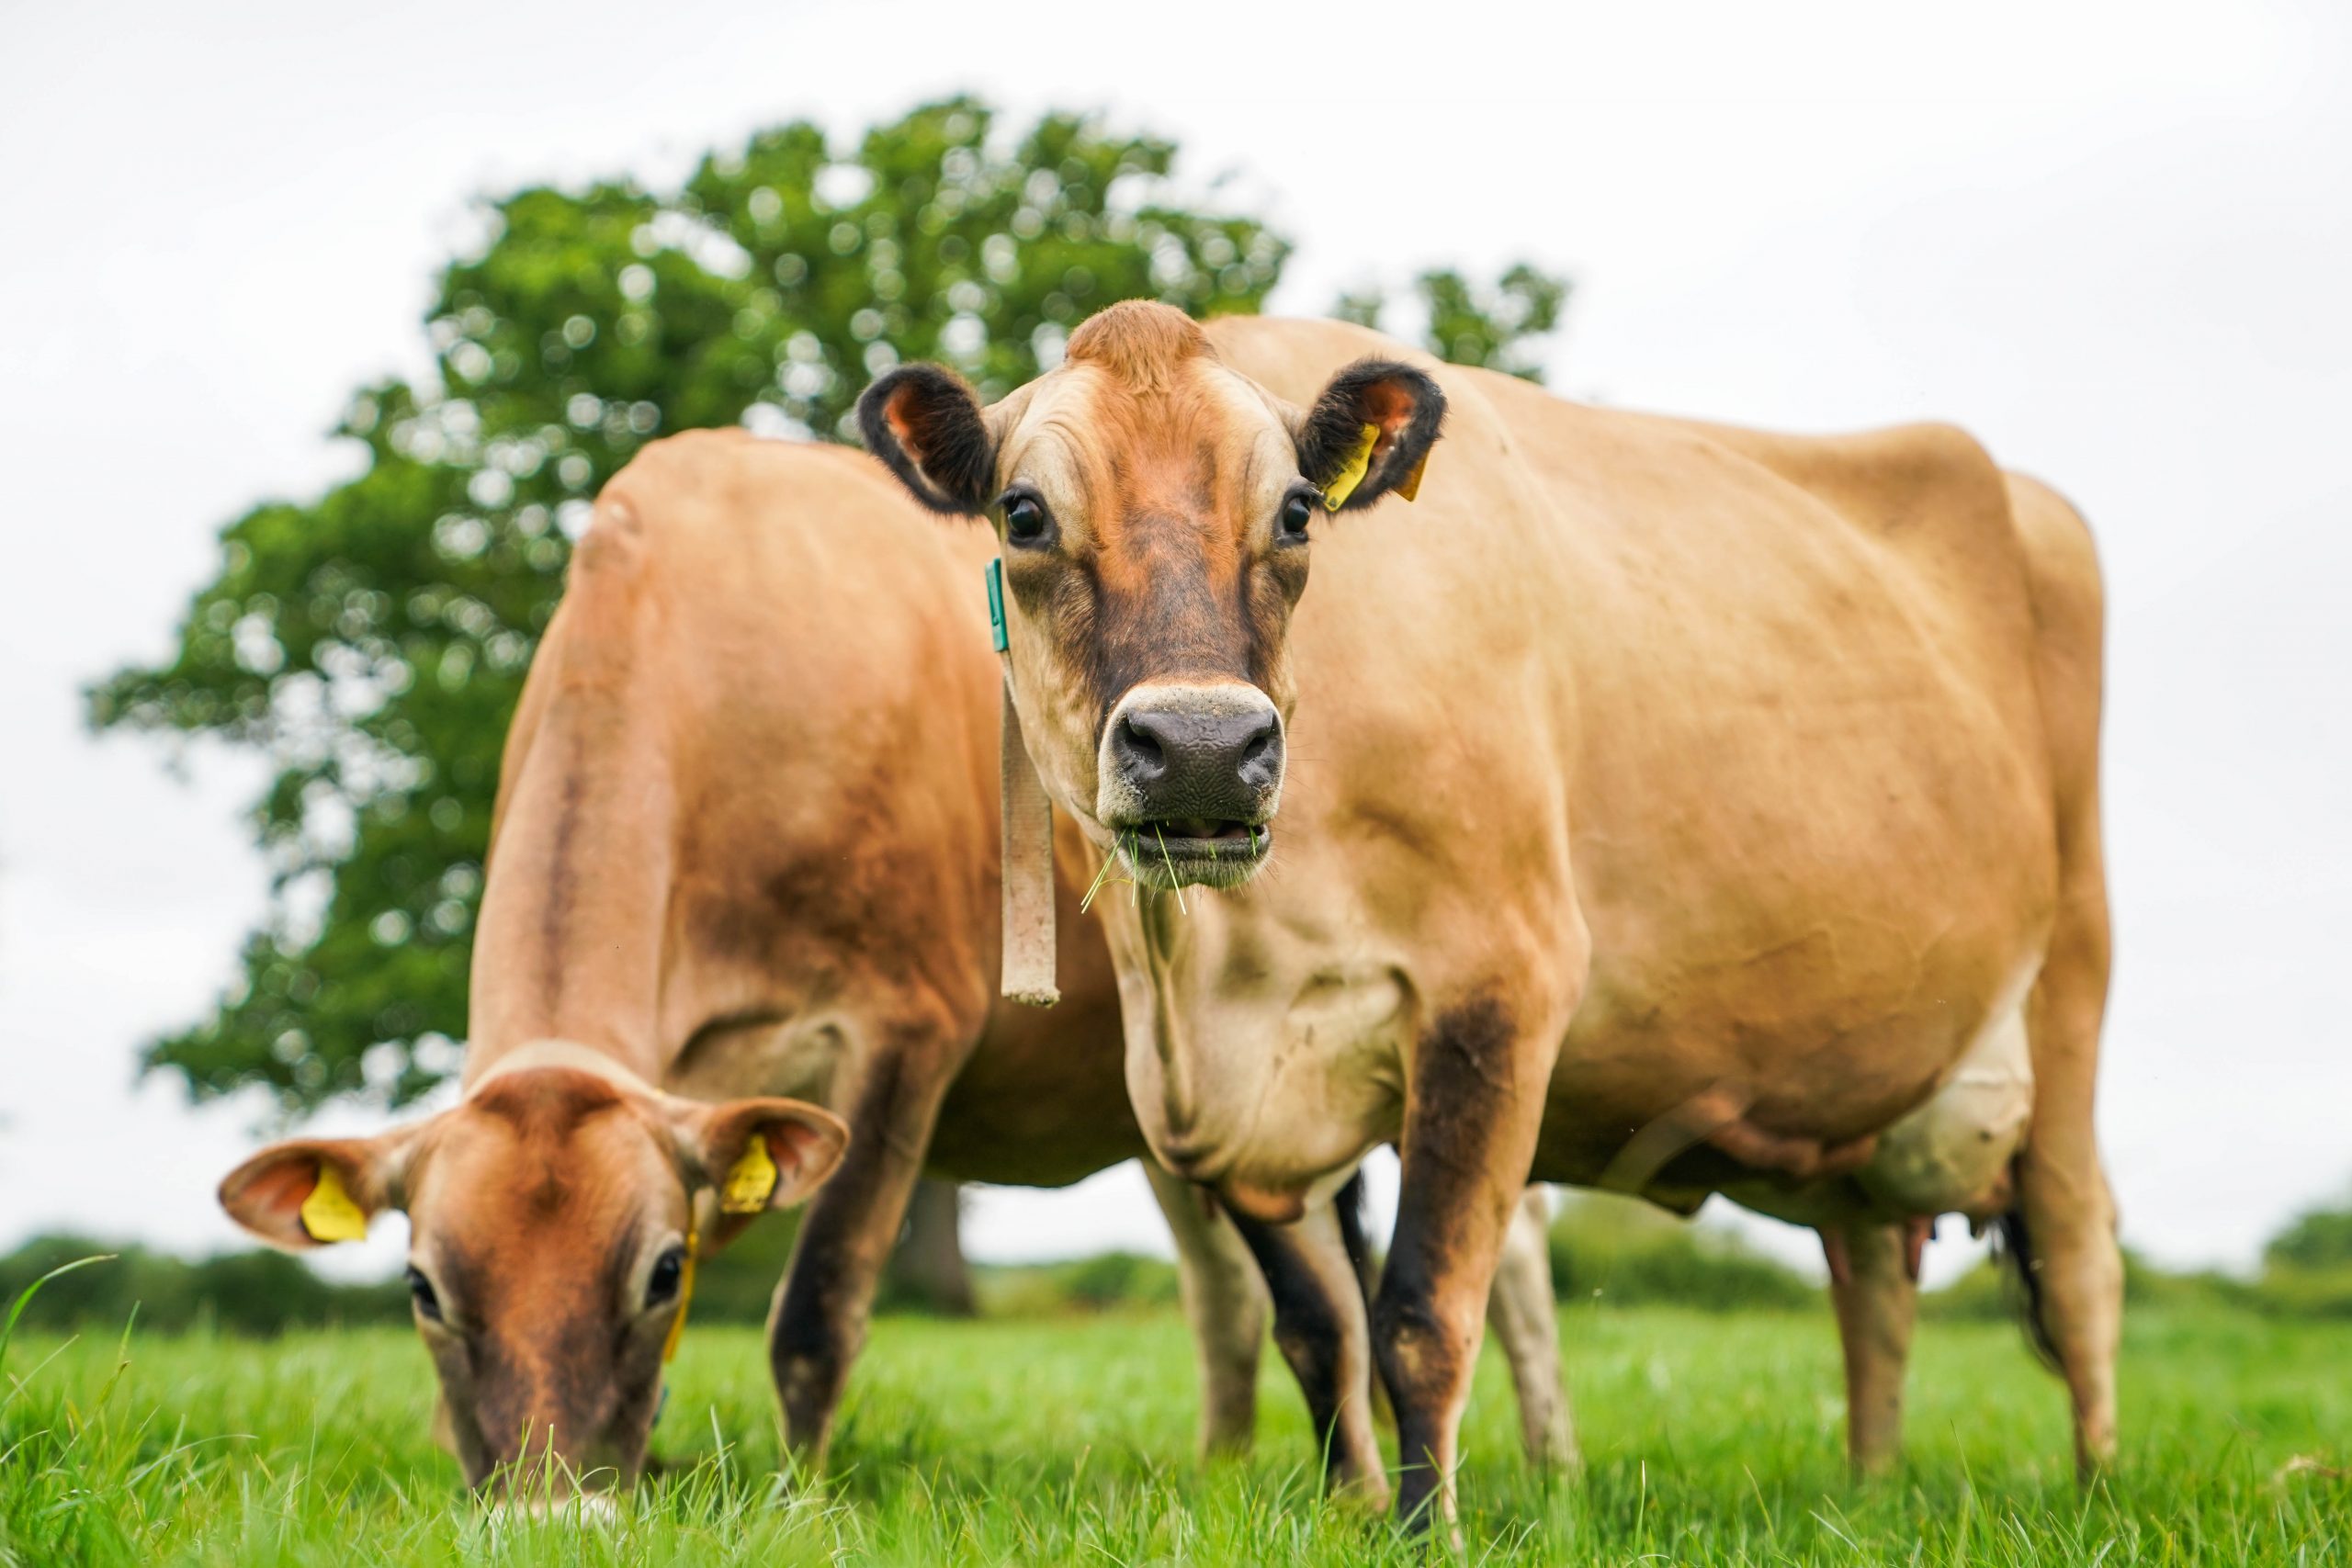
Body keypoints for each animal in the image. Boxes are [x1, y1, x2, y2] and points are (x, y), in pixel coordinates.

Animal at [220, 425, 1571, 1495]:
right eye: (422, 1289)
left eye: (660, 1271)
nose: (554, 1508)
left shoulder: (902, 1029)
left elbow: (818, 1309)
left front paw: (800, 1498)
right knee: (1239, 1288)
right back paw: (1232, 1470)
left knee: (1494, 1254)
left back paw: (1543, 1464)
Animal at [855, 297, 2126, 1532]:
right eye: (1022, 514)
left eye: (1298, 511)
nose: (1205, 749)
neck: (1206, 972)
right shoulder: (1219, 1100)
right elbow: (1318, 1325)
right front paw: (1357, 1514)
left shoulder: (1499, 991)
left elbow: (1419, 1317)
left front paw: (1428, 1534)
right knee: (1871, 1274)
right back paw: (1867, 1490)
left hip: (2072, 985)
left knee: (2079, 1259)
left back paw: (2096, 1491)